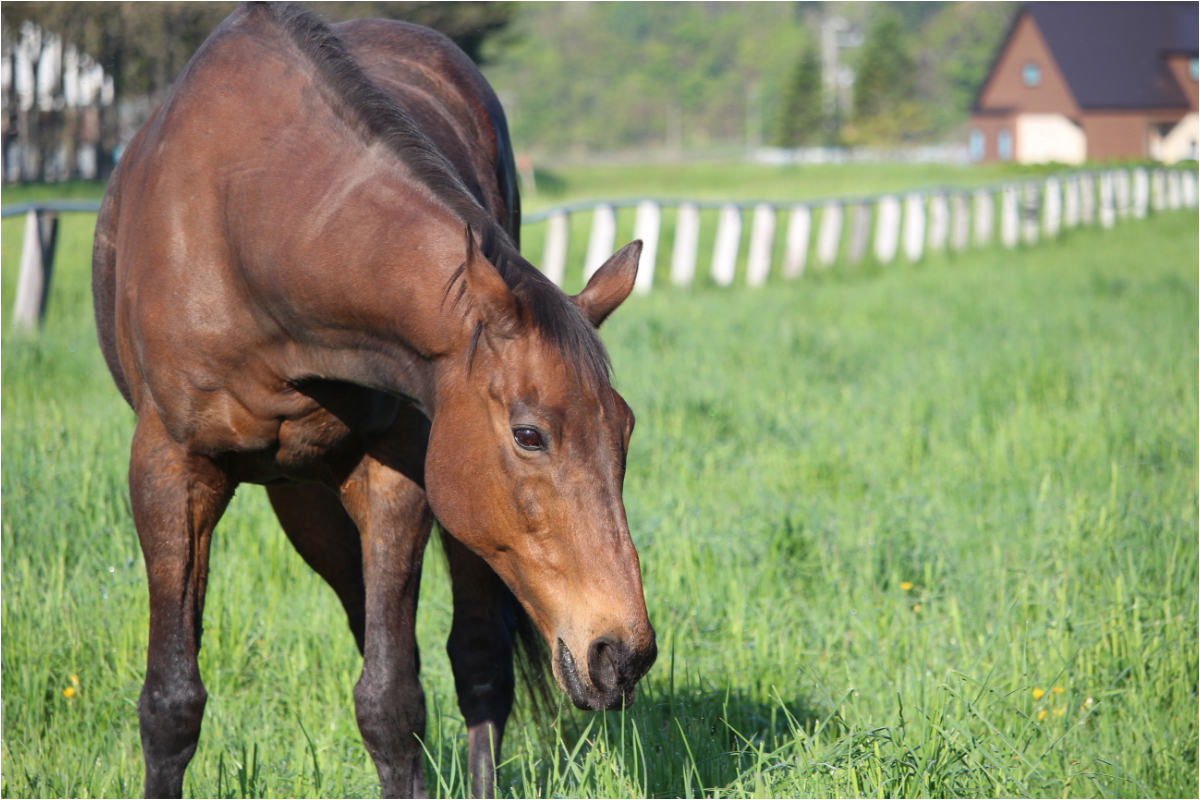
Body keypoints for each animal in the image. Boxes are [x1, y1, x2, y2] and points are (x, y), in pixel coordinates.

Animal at [92, 3, 657, 796]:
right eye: (529, 434)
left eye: (624, 430)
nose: (624, 652)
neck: (255, 219)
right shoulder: (170, 470)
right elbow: (171, 703)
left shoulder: (398, 476)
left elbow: (392, 701)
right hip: (302, 501)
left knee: (477, 659)